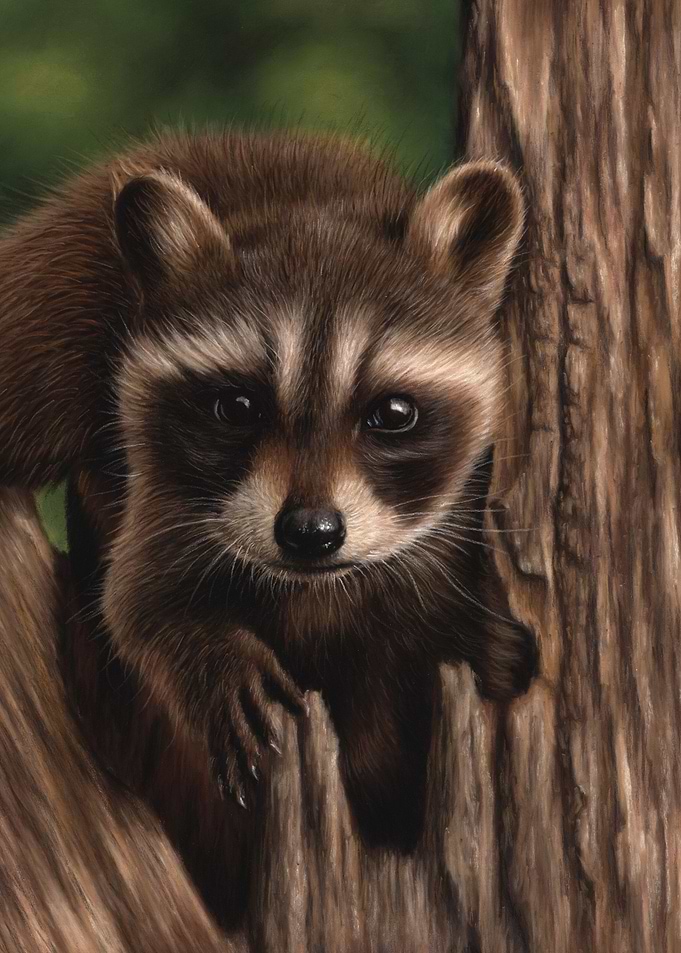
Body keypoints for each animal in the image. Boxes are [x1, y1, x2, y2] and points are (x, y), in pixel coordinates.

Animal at [0, 131, 537, 859]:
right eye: (236, 406)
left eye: (392, 413)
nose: (310, 531)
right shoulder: (157, 485)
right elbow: (137, 596)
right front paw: (208, 648)